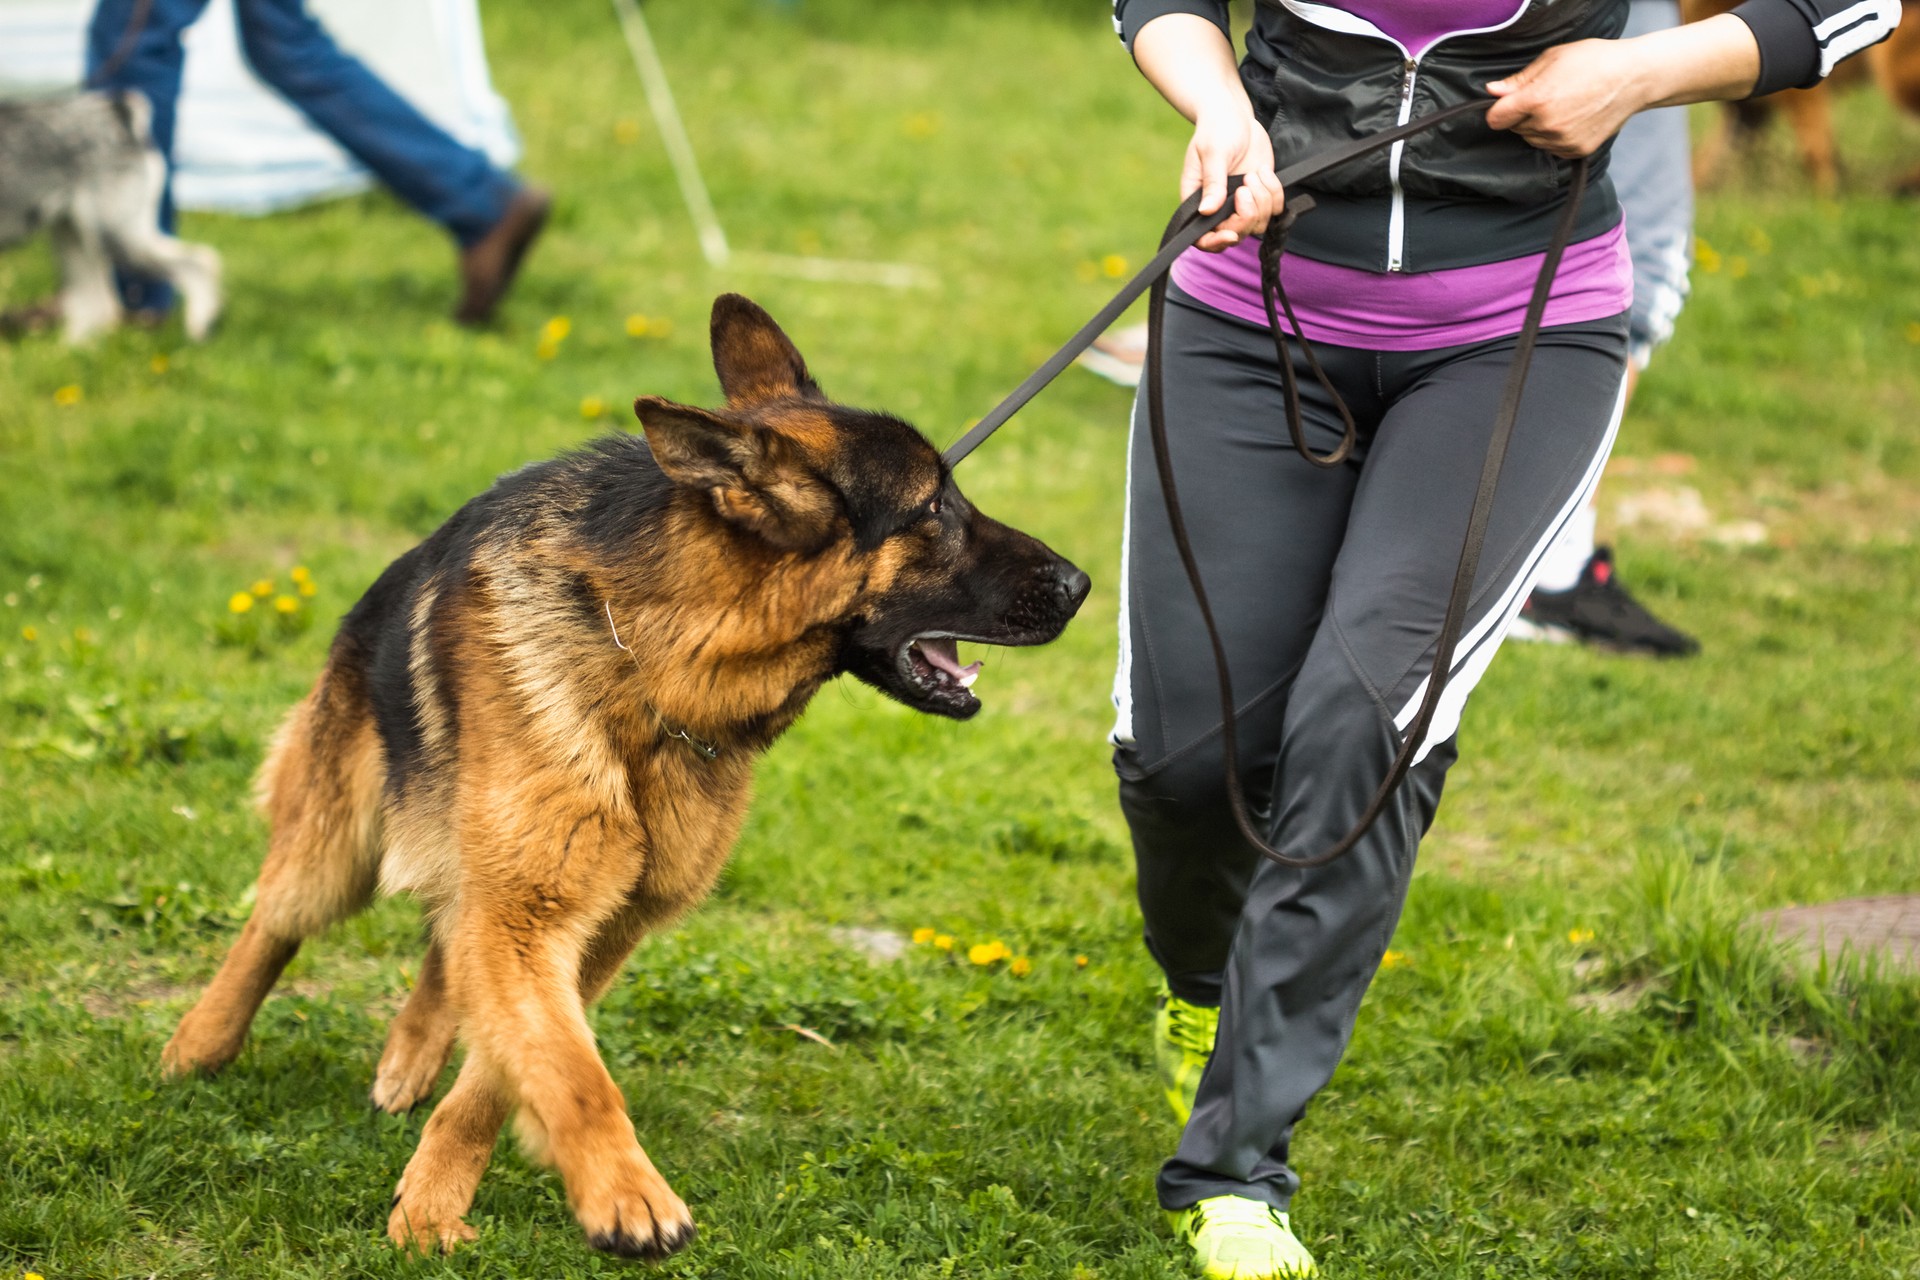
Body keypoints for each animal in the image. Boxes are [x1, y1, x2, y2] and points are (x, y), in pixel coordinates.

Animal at [0, 90, 220, 343]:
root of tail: (119, 111)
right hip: (76, 238)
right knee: (96, 303)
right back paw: (72, 349)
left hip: (117, 237)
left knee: (199, 262)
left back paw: (198, 330)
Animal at [161, 293, 1098, 1258]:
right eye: (933, 509)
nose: (1083, 582)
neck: (655, 674)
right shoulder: (532, 916)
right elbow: (569, 1072)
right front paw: (620, 1194)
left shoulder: (595, 928)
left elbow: (508, 1069)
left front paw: (433, 1199)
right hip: (340, 839)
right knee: (275, 921)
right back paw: (201, 1041)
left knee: (447, 944)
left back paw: (409, 1054)